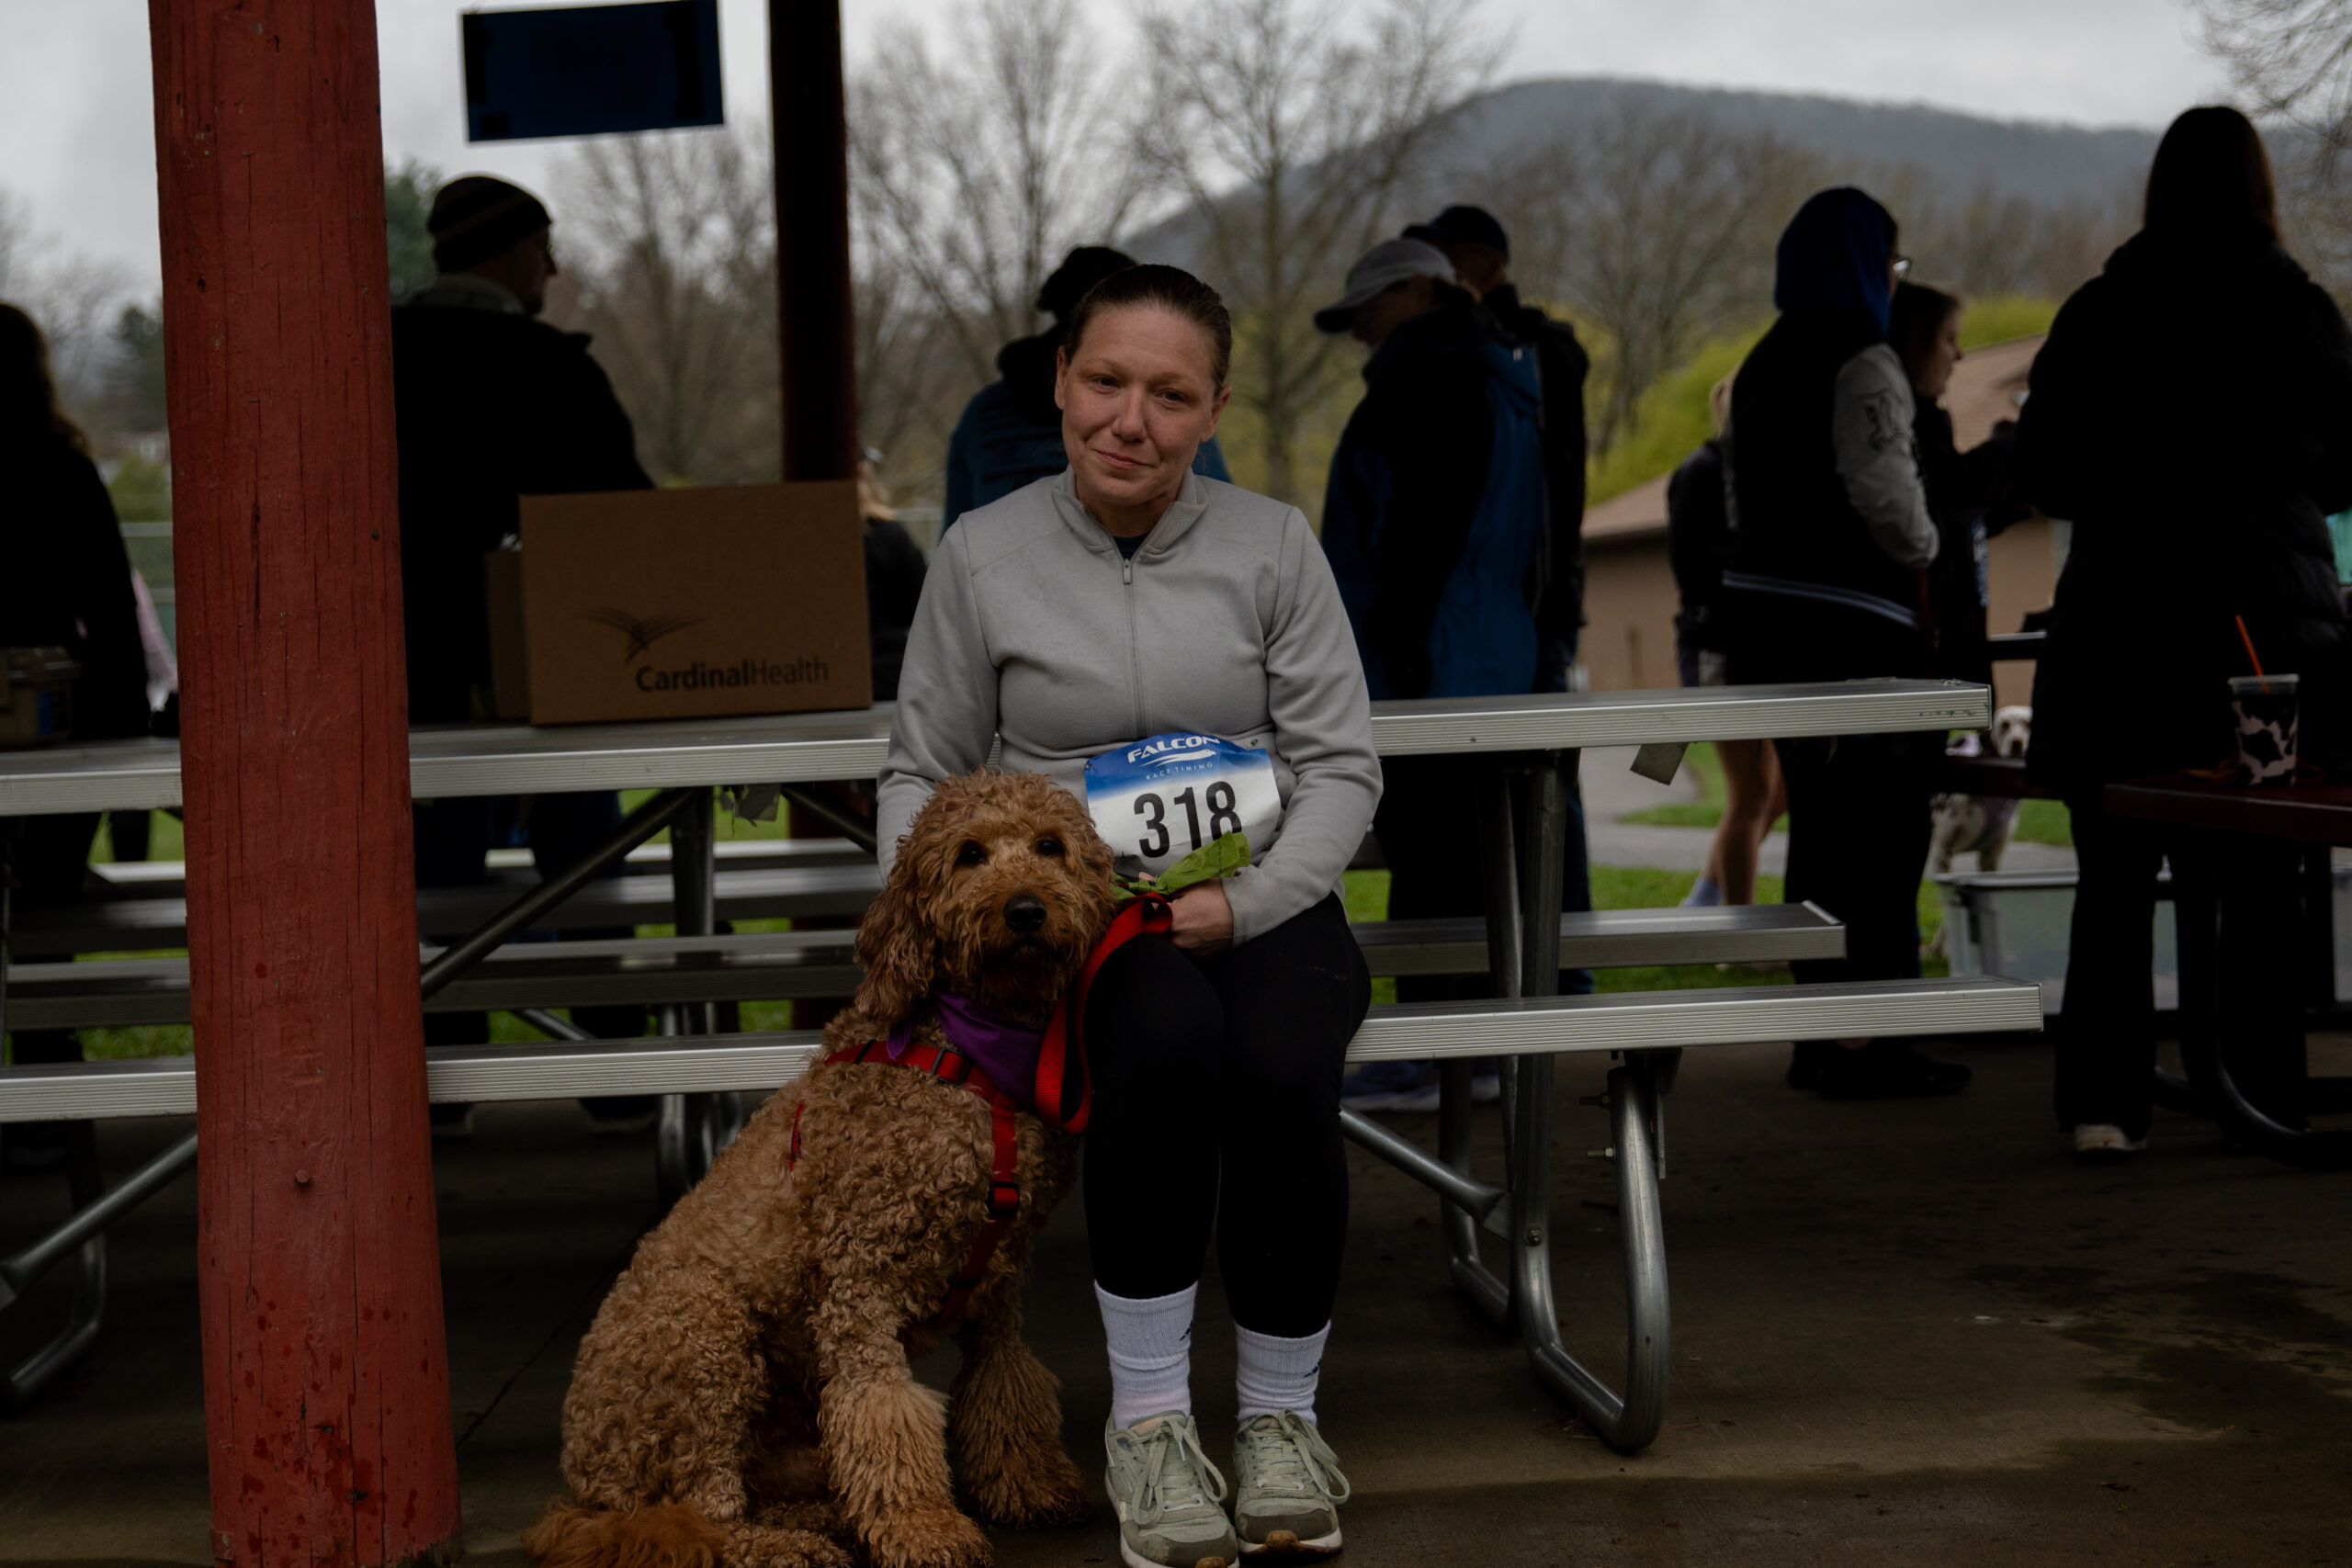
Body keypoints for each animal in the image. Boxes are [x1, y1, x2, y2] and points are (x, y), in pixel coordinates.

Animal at [525, 771, 1121, 1568]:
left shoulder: (997, 1280)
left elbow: (1003, 1381)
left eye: (1050, 845)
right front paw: (922, 1526)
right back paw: (784, 1544)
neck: (970, 1051)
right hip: (705, 1334)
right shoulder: (859, 1282)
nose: (1025, 909)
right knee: (706, 1513)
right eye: (969, 854)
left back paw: (819, 1517)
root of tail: (586, 1496)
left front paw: (1027, 1484)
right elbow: (881, 1410)